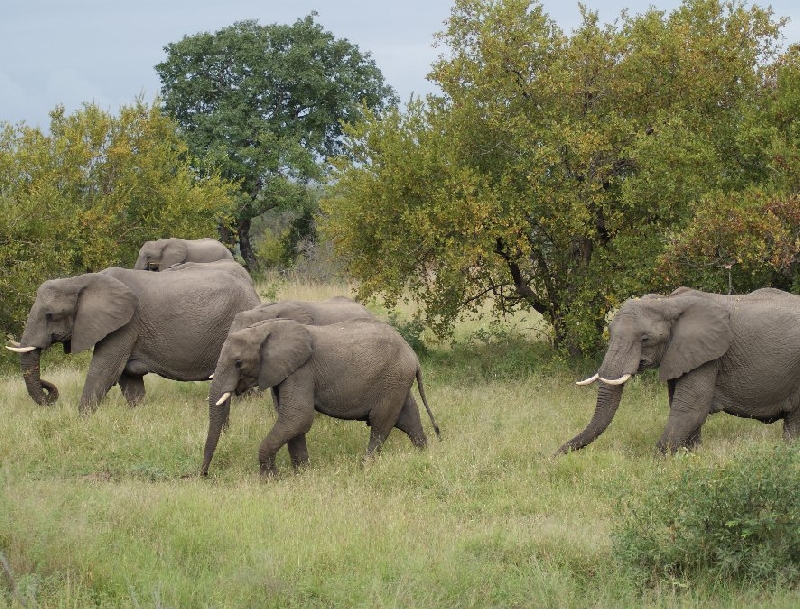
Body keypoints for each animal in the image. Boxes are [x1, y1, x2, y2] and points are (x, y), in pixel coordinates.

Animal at [6, 262, 260, 410]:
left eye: (50, 315)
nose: (49, 396)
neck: (80, 280)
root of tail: (253, 291)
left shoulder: (126, 325)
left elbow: (105, 370)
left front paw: (82, 418)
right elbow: (127, 377)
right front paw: (138, 411)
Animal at [198, 316, 438, 478]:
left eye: (238, 363)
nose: (203, 475)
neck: (265, 329)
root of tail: (413, 355)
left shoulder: (302, 370)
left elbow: (298, 417)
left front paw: (269, 479)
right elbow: (291, 420)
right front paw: (302, 474)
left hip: (392, 379)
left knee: (381, 424)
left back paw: (364, 467)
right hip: (397, 382)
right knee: (408, 418)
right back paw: (424, 454)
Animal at [556, 288, 800, 454]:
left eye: (645, 339)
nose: (555, 455)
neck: (667, 302)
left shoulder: (709, 356)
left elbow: (689, 409)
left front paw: (655, 464)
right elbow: (682, 406)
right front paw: (692, 455)